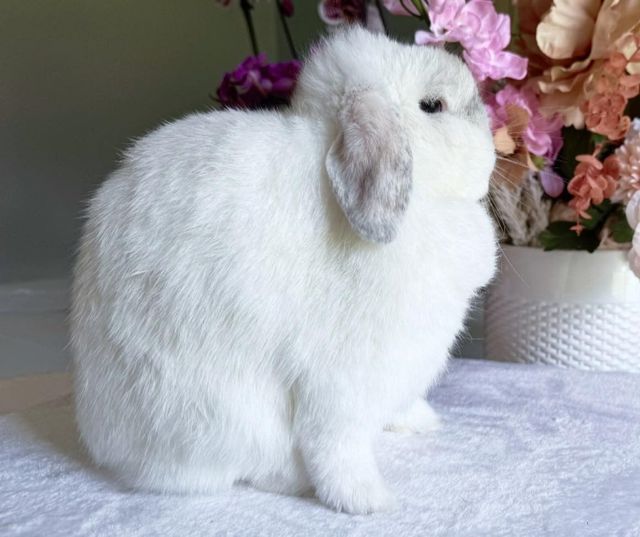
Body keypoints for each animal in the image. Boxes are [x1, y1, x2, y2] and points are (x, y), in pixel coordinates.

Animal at [71, 26, 497, 514]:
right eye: (432, 106)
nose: (491, 136)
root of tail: (109, 448)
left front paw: (420, 421)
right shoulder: (338, 380)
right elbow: (336, 444)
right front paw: (366, 500)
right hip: (222, 414)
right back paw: (297, 480)